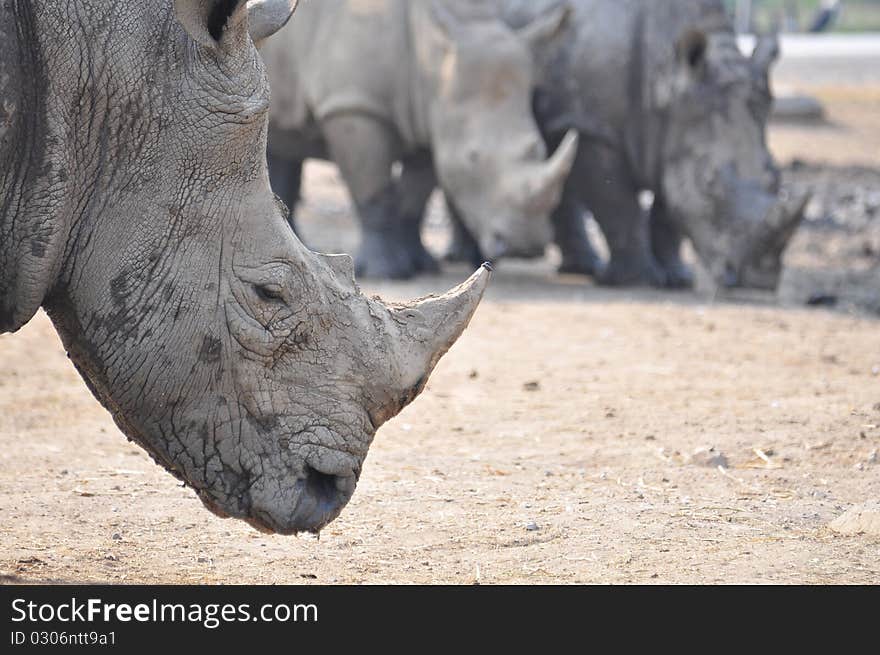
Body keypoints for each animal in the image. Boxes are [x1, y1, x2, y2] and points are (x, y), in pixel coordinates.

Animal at [262, 0, 576, 280]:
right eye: (472, 157)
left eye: (539, 148)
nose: (526, 247)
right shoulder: (356, 107)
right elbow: (373, 192)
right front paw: (386, 273)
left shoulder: (429, 122)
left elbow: (416, 196)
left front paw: (422, 265)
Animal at [450, 0, 808, 290]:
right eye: (710, 183)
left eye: (776, 176)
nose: (760, 280)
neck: (667, 77)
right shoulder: (594, 128)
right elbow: (618, 205)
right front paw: (637, 280)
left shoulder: (674, 130)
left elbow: (670, 205)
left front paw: (677, 279)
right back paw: (468, 257)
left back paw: (581, 267)